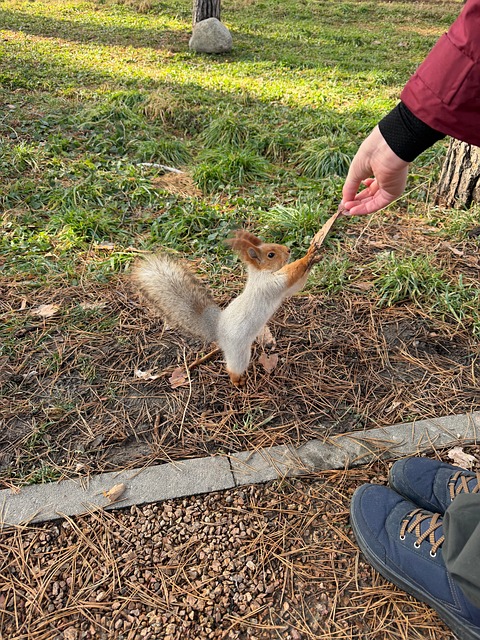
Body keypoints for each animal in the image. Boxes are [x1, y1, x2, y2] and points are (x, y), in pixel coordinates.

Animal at [132, 230, 322, 386]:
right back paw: (238, 381)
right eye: (271, 254)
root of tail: (218, 330)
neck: (260, 273)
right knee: (233, 368)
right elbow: (291, 272)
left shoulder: (283, 289)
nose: (288, 250)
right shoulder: (271, 285)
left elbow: (296, 286)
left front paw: (314, 258)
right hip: (238, 352)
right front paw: (308, 256)